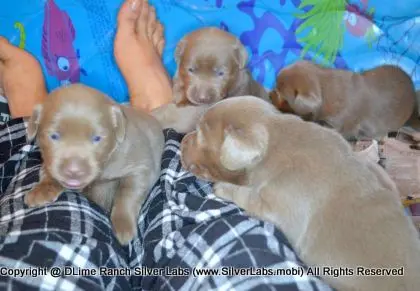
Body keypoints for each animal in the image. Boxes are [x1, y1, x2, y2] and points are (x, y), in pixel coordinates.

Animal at [25, 84, 164, 246]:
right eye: (54, 136)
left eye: (97, 138)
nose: (74, 170)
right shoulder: (49, 162)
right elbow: (48, 172)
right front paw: (41, 191)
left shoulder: (141, 166)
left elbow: (127, 194)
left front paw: (123, 226)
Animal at [180, 96, 420, 291]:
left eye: (200, 134)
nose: (181, 141)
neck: (277, 135)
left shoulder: (277, 204)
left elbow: (248, 196)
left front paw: (222, 187)